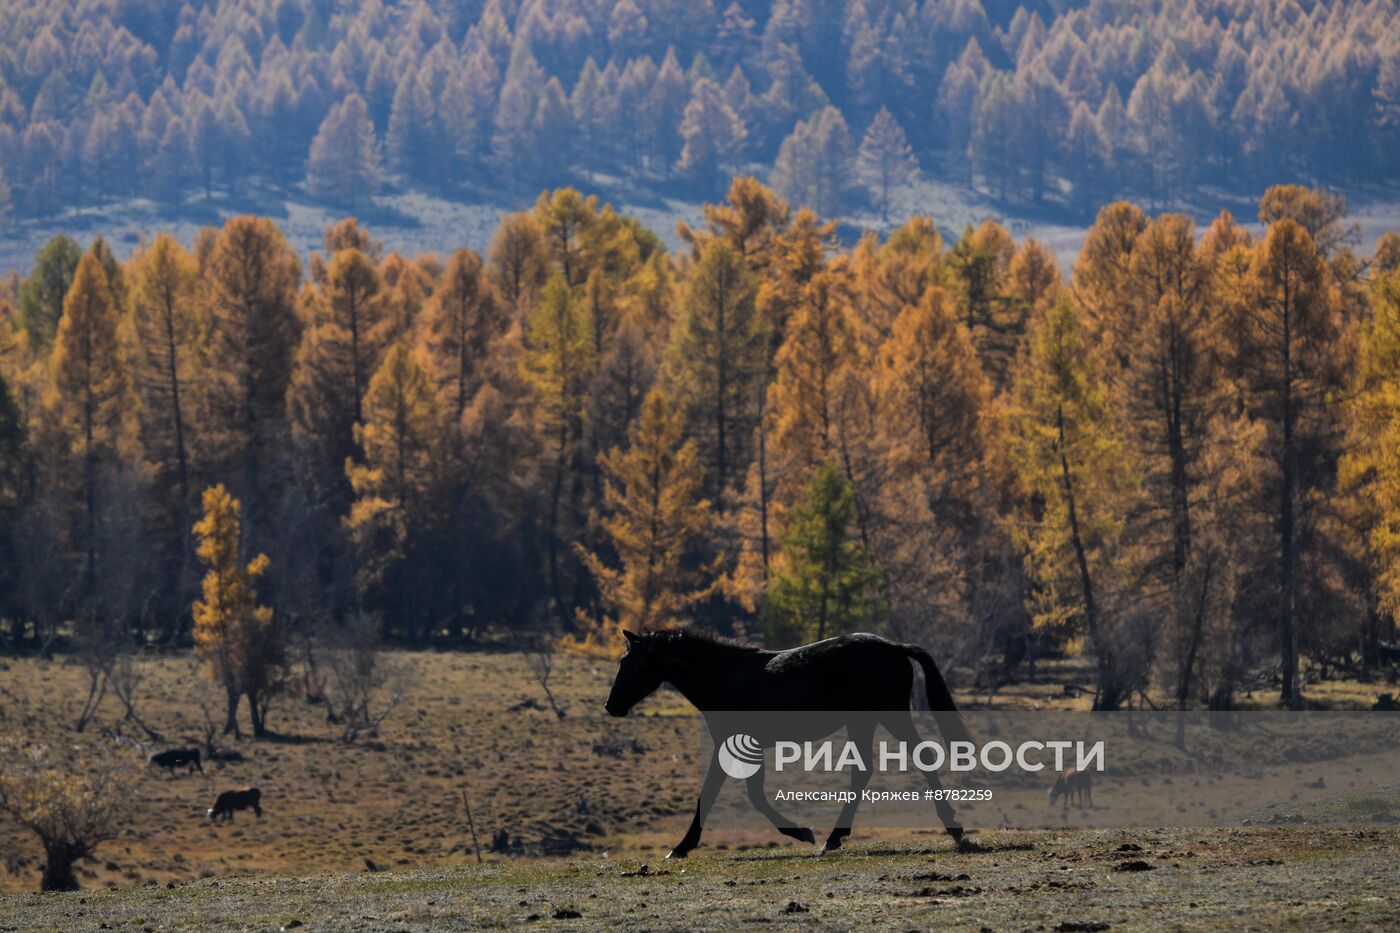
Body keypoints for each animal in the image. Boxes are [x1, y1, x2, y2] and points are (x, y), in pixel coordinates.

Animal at [607, 627, 968, 851]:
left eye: (629, 662)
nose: (611, 705)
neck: (725, 678)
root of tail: (893, 647)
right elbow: (739, 793)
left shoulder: (735, 745)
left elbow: (731, 795)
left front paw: (680, 848)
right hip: (862, 721)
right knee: (864, 770)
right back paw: (834, 838)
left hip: (887, 714)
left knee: (919, 757)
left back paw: (953, 828)